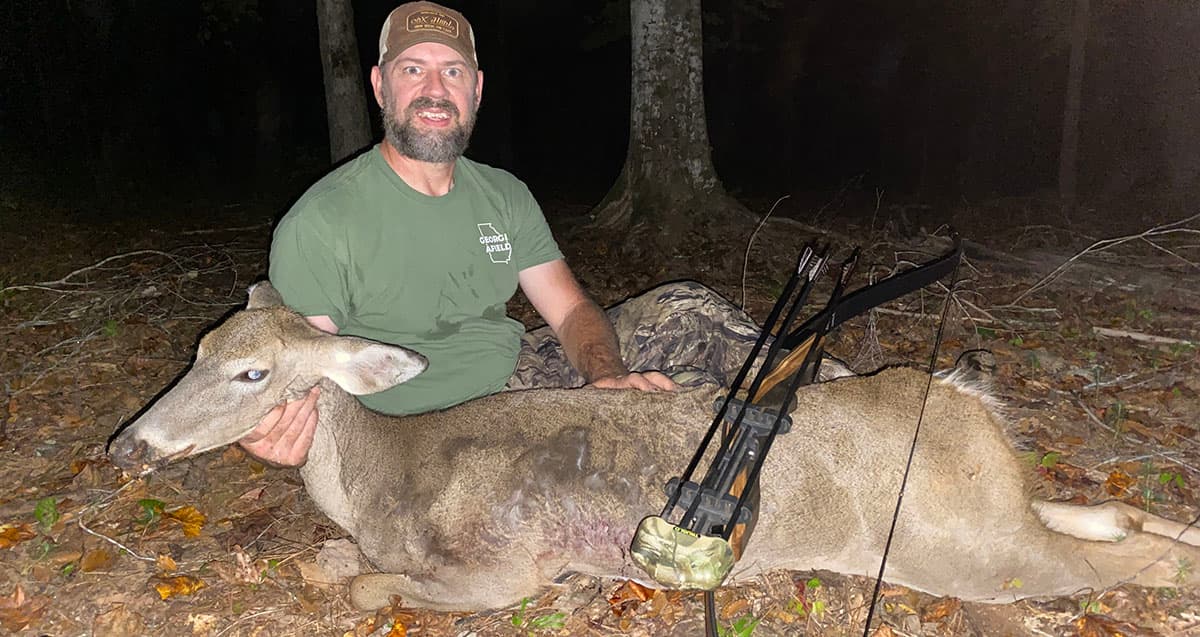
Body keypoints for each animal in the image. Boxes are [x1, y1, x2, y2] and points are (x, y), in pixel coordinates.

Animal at [110, 284, 1200, 614]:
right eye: (200, 348)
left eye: (254, 373)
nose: (127, 441)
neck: (379, 478)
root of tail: (963, 393)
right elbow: (337, 565)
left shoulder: (506, 567)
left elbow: (377, 587)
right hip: (995, 506)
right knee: (1116, 510)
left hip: (958, 547)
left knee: (1127, 555)